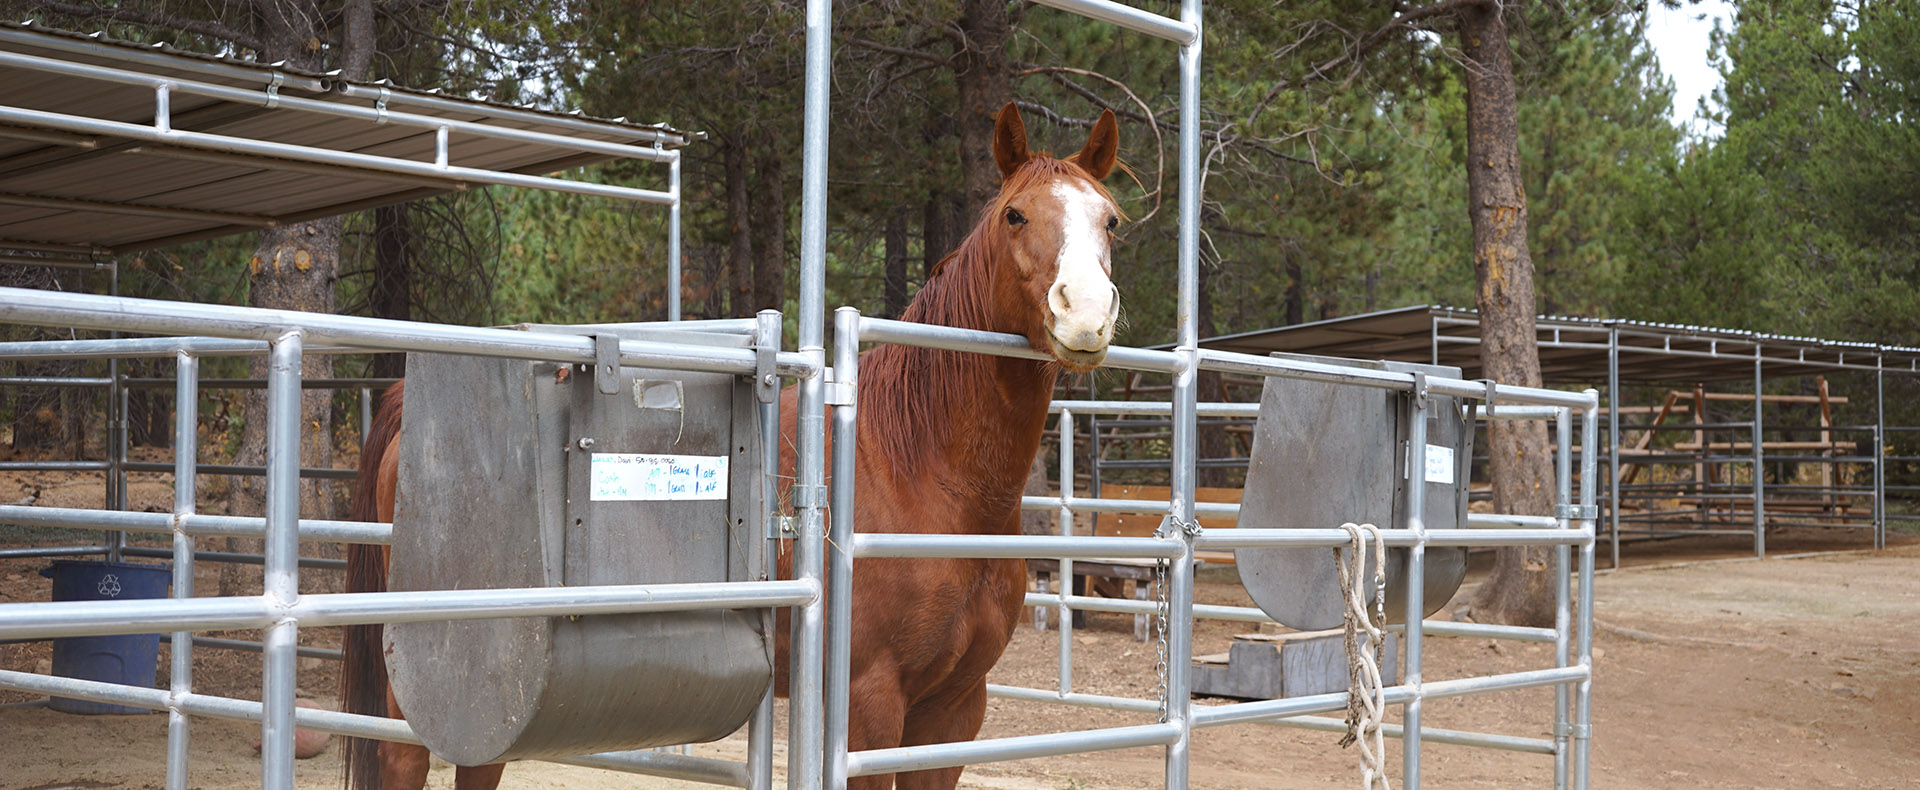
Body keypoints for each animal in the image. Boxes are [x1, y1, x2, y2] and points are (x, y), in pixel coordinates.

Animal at [347, 105, 1121, 790]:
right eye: (1016, 214)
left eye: (1110, 219)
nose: (1085, 312)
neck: (926, 473)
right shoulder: (868, 707)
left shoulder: (954, 709)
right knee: (407, 762)